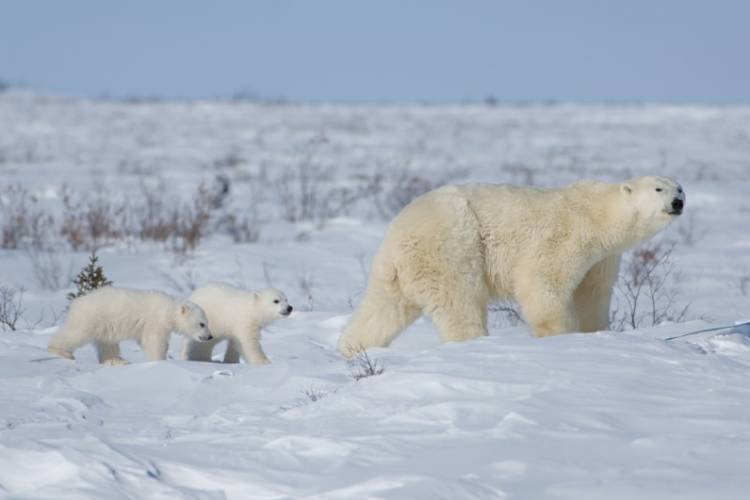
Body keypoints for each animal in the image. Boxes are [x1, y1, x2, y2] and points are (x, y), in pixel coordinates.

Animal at [340, 176, 688, 356]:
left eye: (680, 188)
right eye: (659, 188)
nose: (678, 202)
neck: (598, 213)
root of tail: (396, 232)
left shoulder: (603, 259)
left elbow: (593, 295)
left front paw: (598, 333)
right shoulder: (566, 235)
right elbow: (543, 282)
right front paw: (560, 335)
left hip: (400, 270)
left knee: (383, 309)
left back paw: (353, 349)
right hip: (451, 247)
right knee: (460, 302)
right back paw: (475, 343)